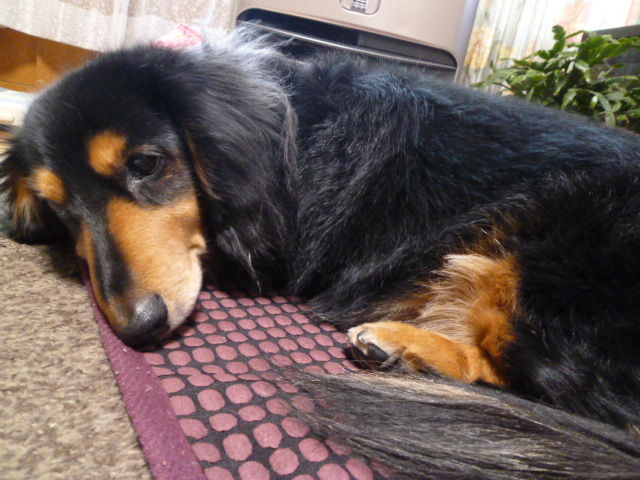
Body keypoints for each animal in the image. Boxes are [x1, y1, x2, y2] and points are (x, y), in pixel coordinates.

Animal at [2, 33, 639, 478]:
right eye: (58, 208)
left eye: (146, 164)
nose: (137, 328)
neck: (291, 131)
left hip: (547, 249)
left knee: (542, 381)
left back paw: (408, 349)